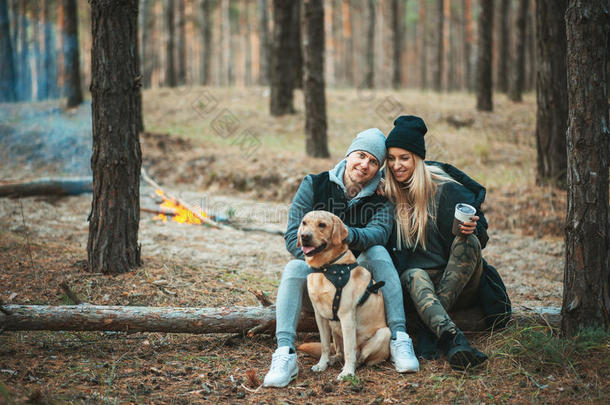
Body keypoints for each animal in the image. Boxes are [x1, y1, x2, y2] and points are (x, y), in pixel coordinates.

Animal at [296, 210, 390, 378]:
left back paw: (352, 366)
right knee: (339, 351)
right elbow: (325, 345)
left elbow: (349, 349)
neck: (326, 268)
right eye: (304, 223)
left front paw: (347, 372)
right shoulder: (320, 316)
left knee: (360, 356)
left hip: (384, 333)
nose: (304, 236)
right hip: (335, 329)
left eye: (322, 224)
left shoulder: (346, 316)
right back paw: (332, 360)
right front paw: (322, 364)